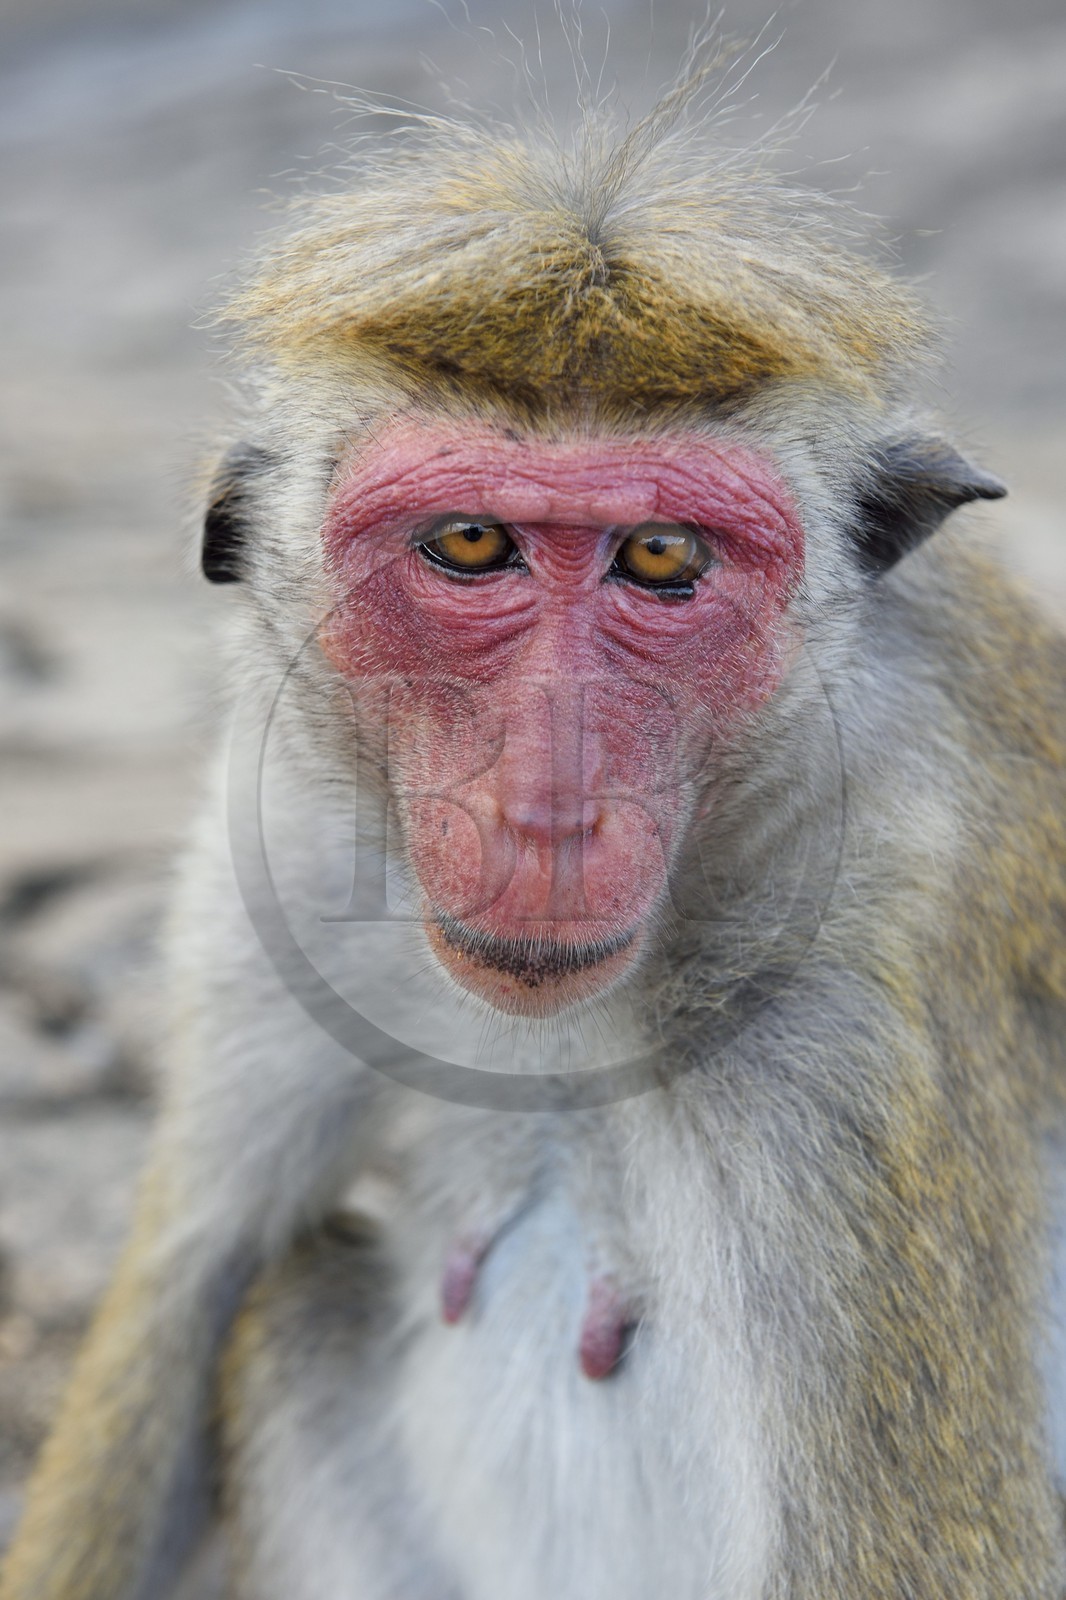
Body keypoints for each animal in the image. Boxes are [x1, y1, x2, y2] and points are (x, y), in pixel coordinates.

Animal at [2, 76, 1066, 1600]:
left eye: (662, 559)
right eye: (467, 546)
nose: (546, 801)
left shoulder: (849, 1024)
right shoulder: (287, 855)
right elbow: (185, 1295)